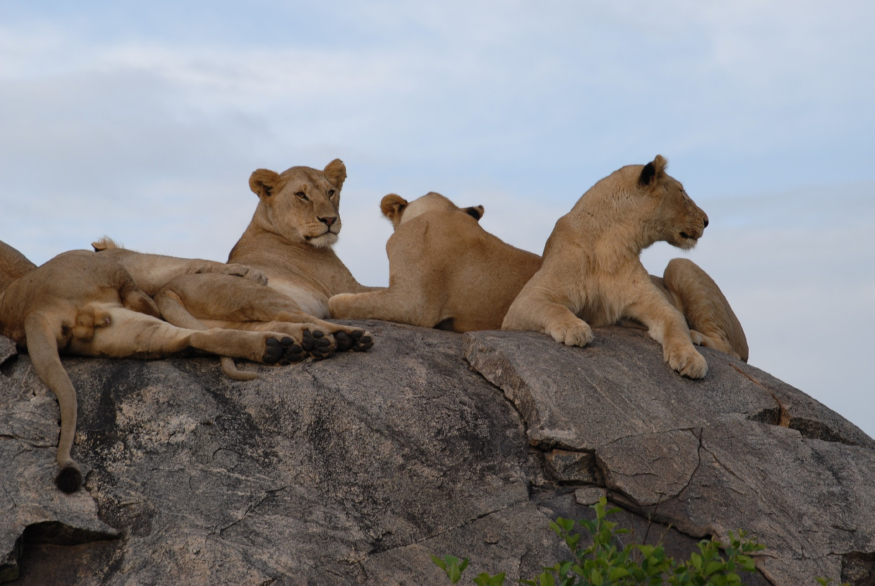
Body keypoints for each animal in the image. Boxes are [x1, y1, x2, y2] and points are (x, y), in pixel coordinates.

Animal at [0, 244, 309, 493]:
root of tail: (32, 312)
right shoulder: (141, 263)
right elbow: (191, 262)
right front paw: (248, 272)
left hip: (129, 333)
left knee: (194, 336)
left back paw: (276, 348)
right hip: (102, 269)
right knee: (154, 304)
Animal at [502, 155, 748, 379]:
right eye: (682, 193)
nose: (706, 221)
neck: (611, 242)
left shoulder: (653, 302)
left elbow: (676, 322)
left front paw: (689, 357)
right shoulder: (524, 302)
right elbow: (554, 308)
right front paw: (575, 329)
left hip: (679, 264)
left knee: (729, 349)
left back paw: (696, 336)